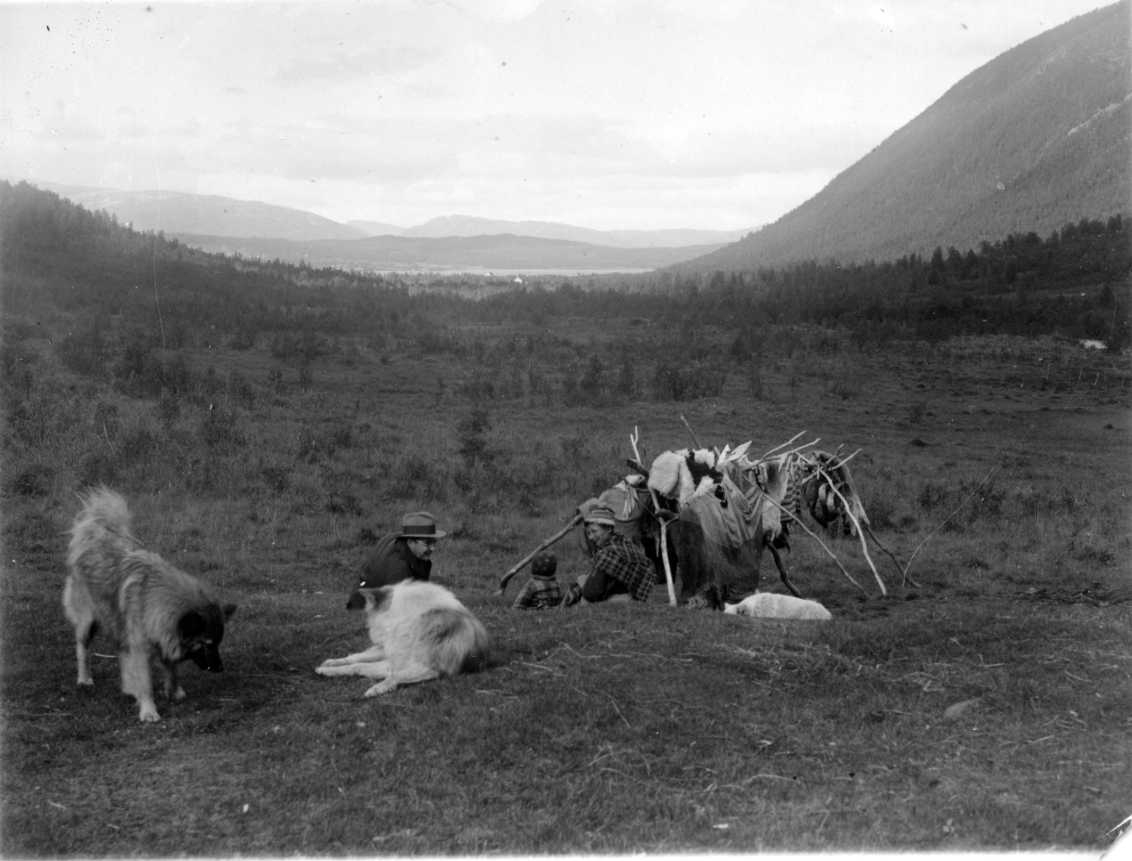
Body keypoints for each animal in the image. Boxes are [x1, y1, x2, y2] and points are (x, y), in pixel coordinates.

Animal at [314, 574, 486, 696]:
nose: (373, 637)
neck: (405, 618)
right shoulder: (392, 654)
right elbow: (357, 663)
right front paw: (328, 669)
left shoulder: (426, 668)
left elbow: (387, 674)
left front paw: (377, 688)